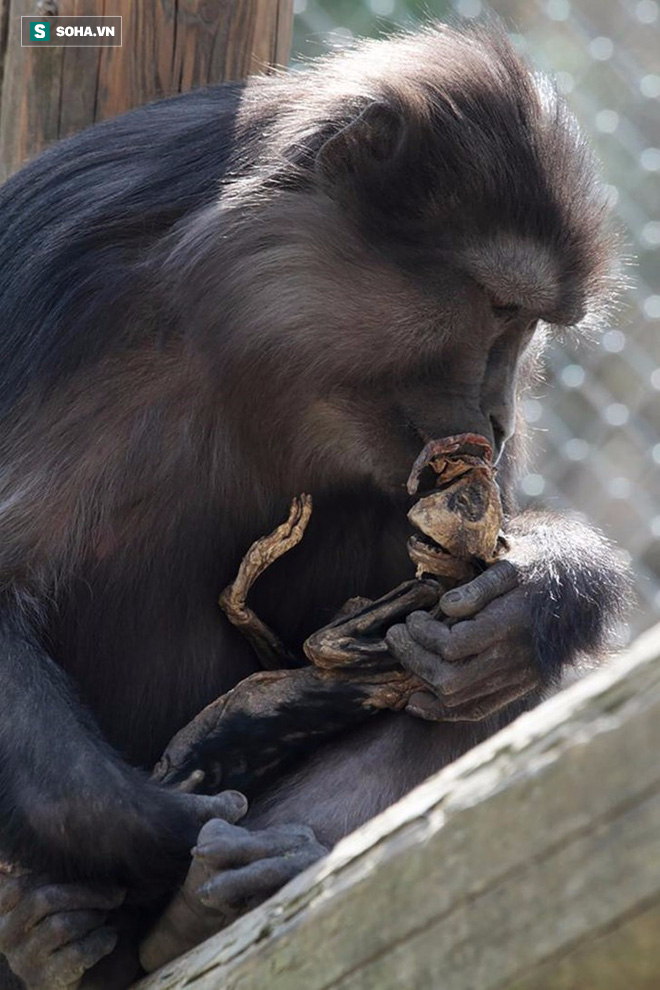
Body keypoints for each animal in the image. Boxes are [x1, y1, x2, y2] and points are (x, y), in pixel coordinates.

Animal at [0, 19, 628, 988]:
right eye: (498, 307)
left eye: (528, 326)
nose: (499, 416)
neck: (250, 342)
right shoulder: (68, 299)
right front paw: (151, 823)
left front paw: (533, 599)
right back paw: (69, 930)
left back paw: (203, 903)